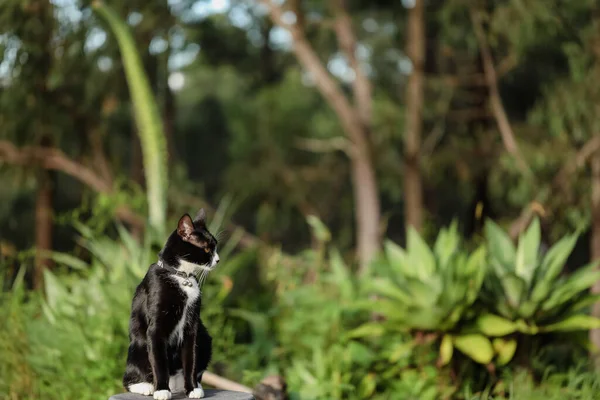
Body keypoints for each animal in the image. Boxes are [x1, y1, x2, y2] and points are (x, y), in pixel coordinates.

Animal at [123, 211, 219, 398]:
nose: (218, 260)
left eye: (215, 247)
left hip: (205, 337)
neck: (182, 277)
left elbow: (191, 359)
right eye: (206, 249)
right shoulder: (156, 329)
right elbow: (159, 361)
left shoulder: (192, 327)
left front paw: (192, 388)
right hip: (138, 347)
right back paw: (146, 386)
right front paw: (161, 390)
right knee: (128, 376)